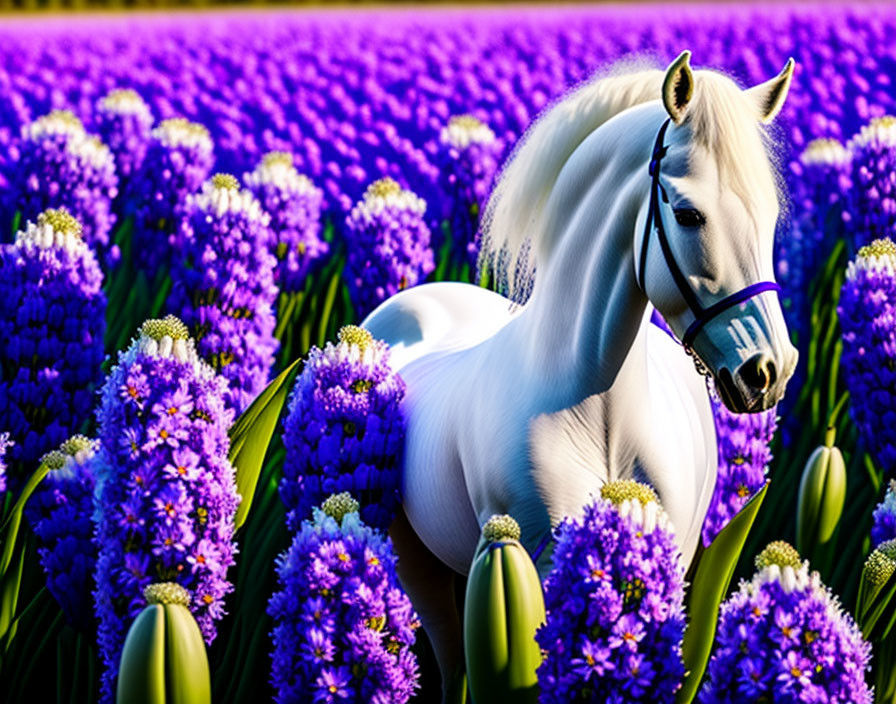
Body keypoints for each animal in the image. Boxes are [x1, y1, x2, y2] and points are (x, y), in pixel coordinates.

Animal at [364, 52, 800, 696]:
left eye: (769, 218)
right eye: (689, 215)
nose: (769, 370)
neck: (600, 410)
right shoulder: (538, 567)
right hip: (415, 558)